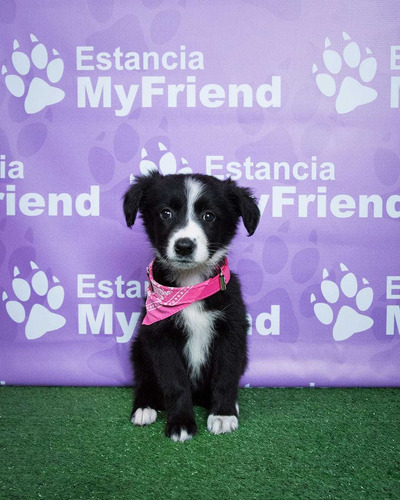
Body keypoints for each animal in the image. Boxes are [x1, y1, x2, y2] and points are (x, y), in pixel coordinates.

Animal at [123, 173, 260, 442]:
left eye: (209, 216)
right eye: (165, 213)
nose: (184, 246)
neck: (191, 285)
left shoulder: (232, 332)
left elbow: (226, 376)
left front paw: (223, 414)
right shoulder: (159, 336)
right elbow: (175, 382)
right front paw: (181, 423)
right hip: (139, 347)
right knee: (144, 379)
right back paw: (144, 407)